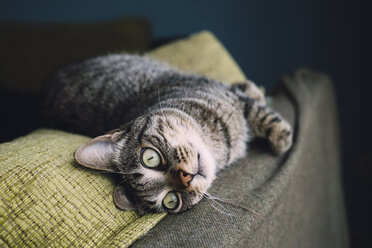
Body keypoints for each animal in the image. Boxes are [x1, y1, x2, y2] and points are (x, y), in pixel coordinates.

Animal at [42, 54, 292, 215]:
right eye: (172, 201)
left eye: (149, 158)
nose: (186, 178)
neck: (222, 147)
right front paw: (283, 138)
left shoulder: (231, 97)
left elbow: (261, 115)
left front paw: (281, 137)